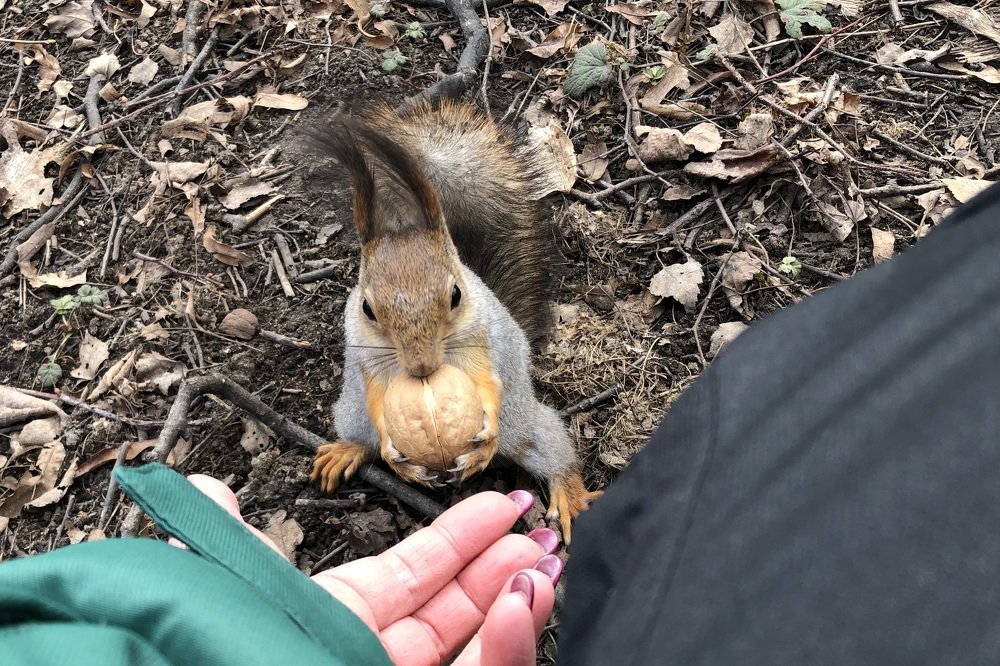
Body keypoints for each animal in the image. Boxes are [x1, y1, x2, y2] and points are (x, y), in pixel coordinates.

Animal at [307, 99, 601, 543]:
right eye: (367, 308)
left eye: (456, 295)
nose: (421, 367)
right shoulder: (367, 355)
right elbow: (378, 395)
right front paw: (392, 448)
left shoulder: (482, 338)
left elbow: (487, 381)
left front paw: (487, 431)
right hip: (351, 413)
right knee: (365, 437)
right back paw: (349, 450)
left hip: (527, 428)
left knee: (551, 451)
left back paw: (568, 491)